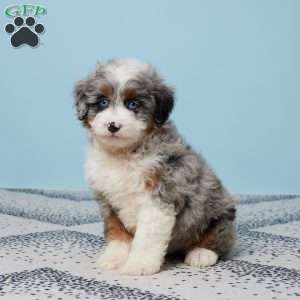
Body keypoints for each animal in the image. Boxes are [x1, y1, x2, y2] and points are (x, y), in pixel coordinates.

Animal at [74, 57, 236, 276]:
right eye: (102, 102)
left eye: (133, 104)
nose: (113, 125)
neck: (124, 154)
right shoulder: (107, 200)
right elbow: (116, 231)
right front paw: (114, 257)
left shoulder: (159, 197)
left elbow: (147, 237)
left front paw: (139, 264)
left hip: (219, 215)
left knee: (218, 240)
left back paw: (201, 254)